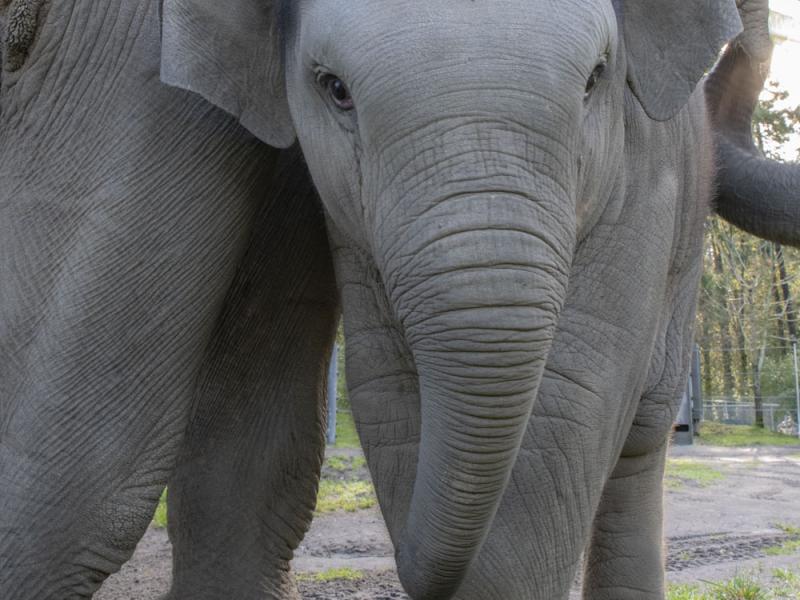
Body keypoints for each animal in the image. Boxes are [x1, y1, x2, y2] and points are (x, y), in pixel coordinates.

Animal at [2, 1, 798, 600]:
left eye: (596, 80)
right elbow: (387, 394)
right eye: (335, 89)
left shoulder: (647, 177)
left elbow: (570, 403)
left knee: (638, 443)